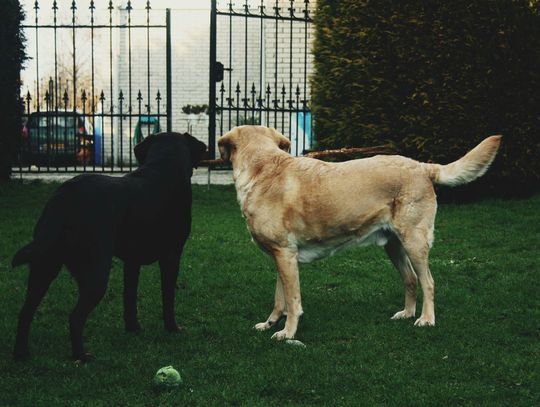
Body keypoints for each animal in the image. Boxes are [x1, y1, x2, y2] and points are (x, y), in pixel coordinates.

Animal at [13, 132, 207, 362]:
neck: (164, 165)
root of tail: (65, 195)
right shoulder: (171, 255)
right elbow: (168, 296)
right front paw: (172, 328)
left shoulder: (132, 261)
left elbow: (129, 296)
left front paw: (133, 328)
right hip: (96, 271)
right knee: (75, 317)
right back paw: (81, 356)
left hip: (45, 264)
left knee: (25, 311)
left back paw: (21, 354)